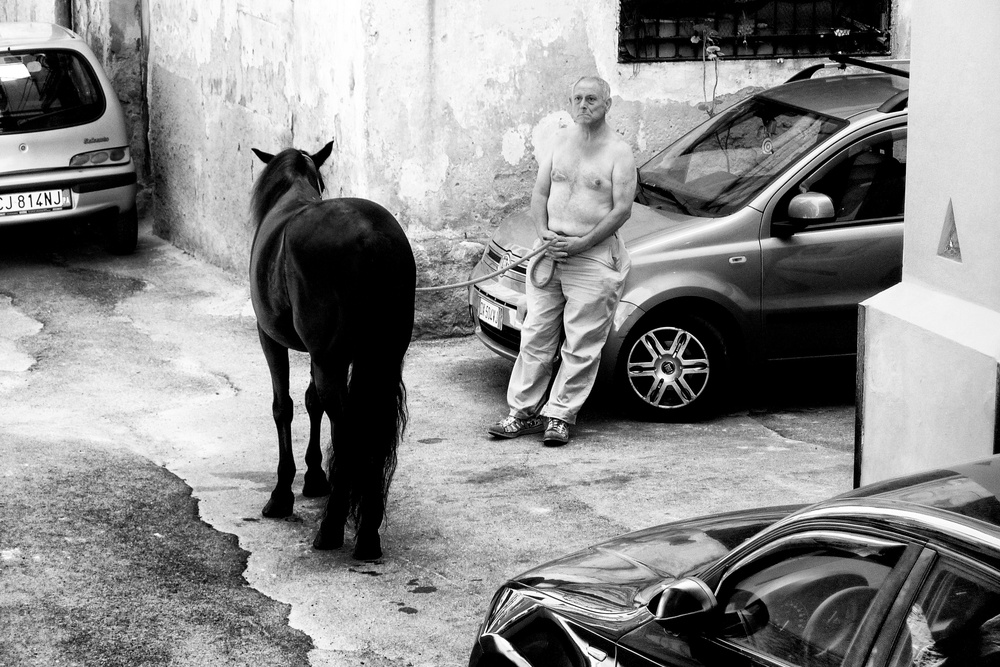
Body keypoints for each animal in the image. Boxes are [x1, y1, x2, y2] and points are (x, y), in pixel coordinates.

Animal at [248, 142, 416, 564]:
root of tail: (371, 237)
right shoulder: (320, 355)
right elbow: (312, 403)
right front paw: (314, 477)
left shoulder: (269, 337)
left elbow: (284, 407)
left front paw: (282, 495)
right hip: (381, 357)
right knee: (370, 431)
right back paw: (368, 531)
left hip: (331, 359)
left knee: (351, 431)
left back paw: (332, 528)